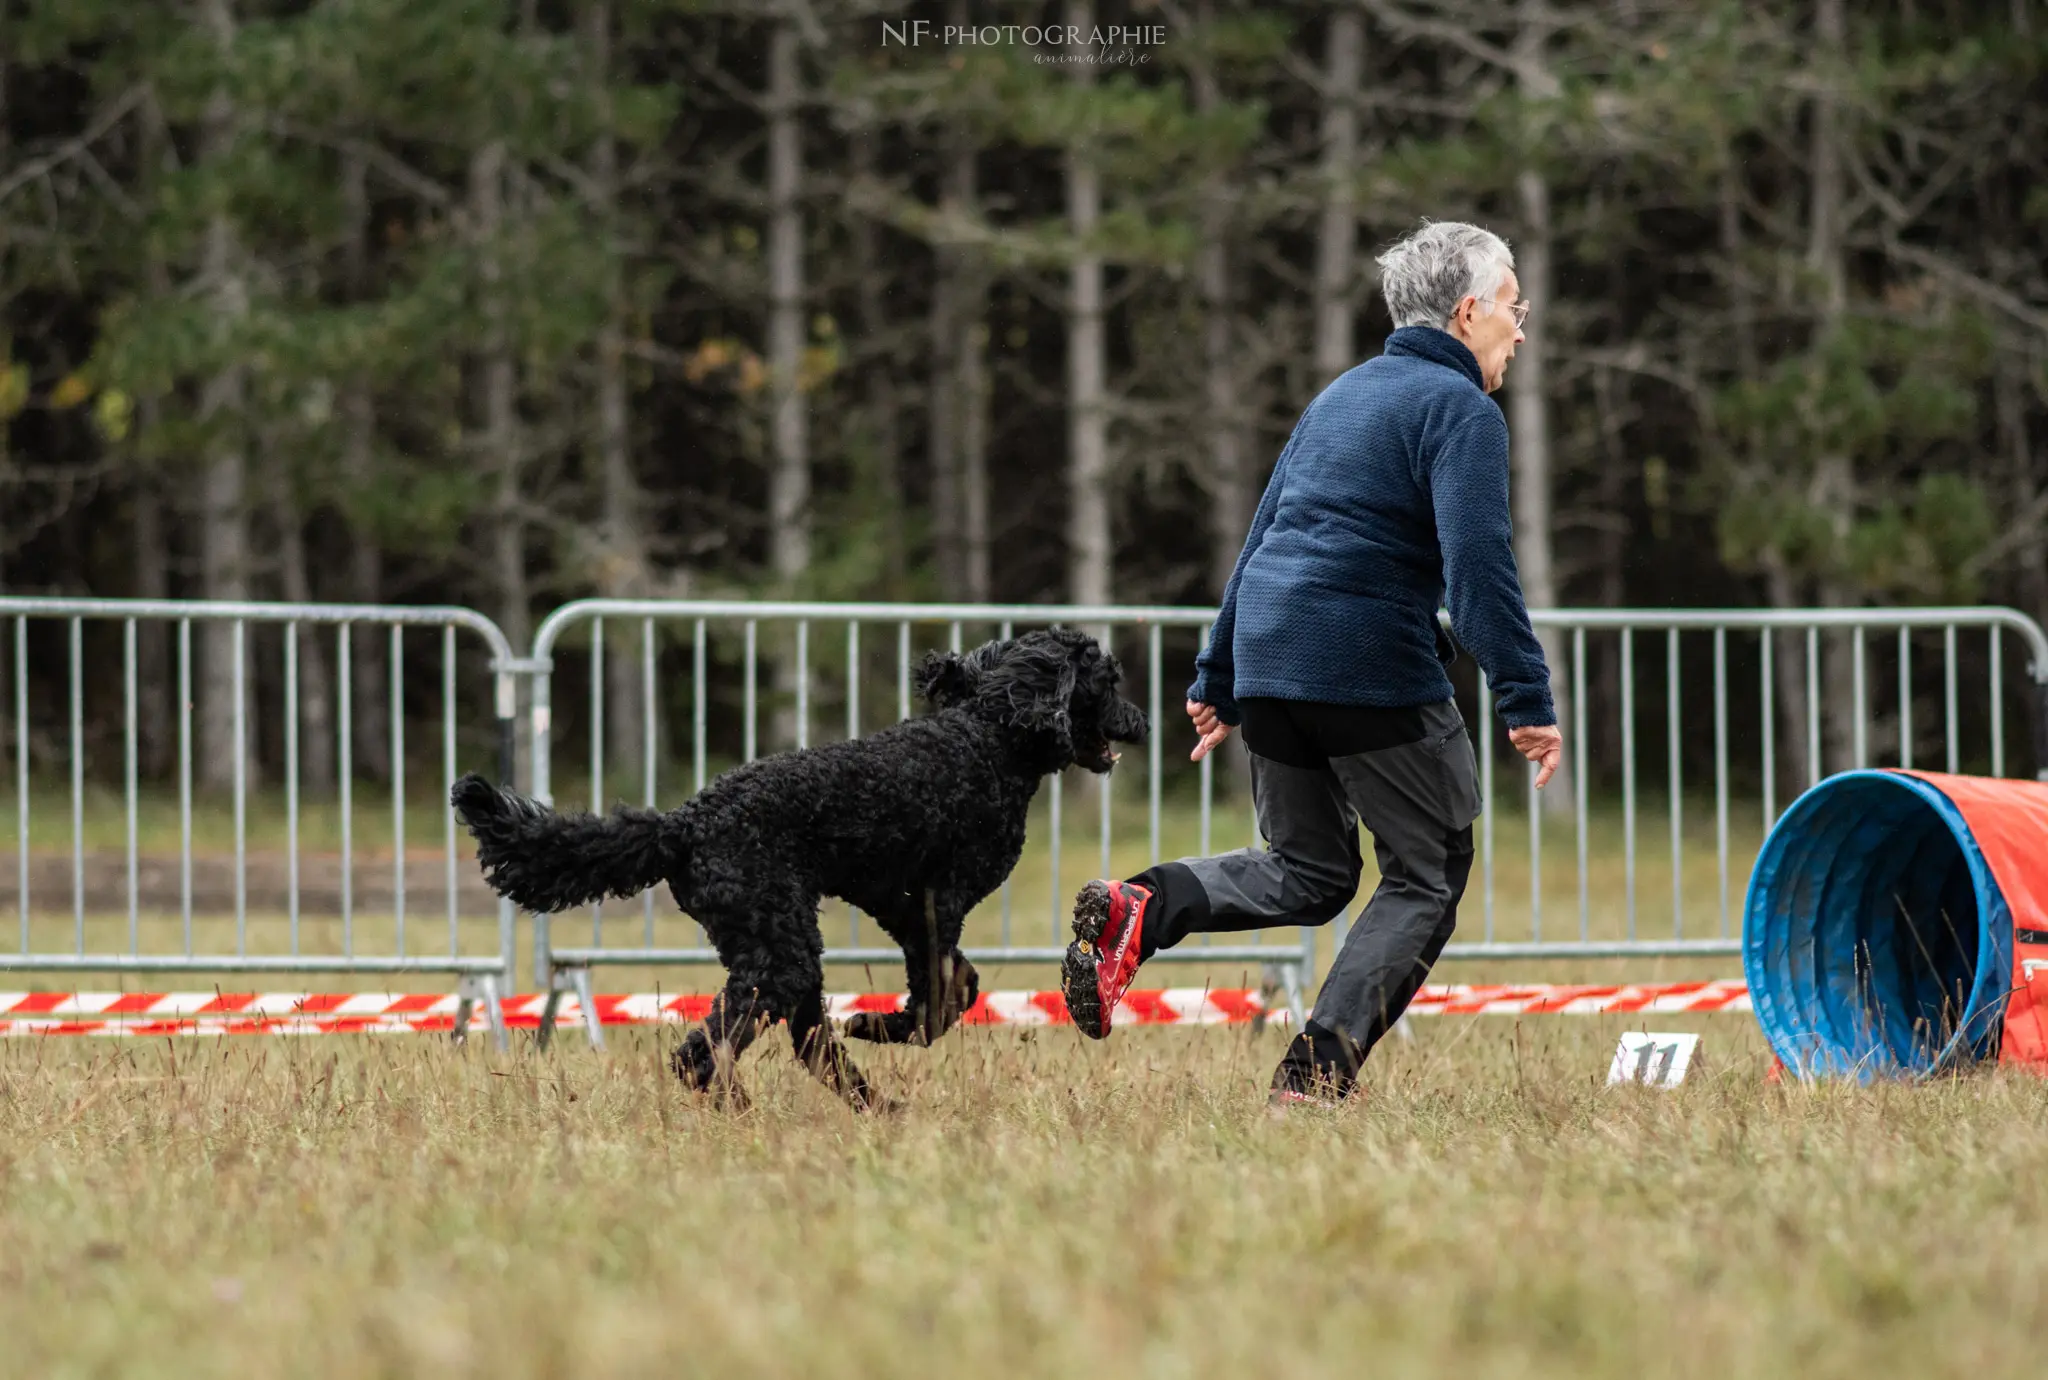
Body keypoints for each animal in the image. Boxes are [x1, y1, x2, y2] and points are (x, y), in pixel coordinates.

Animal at [450, 630, 1146, 1113]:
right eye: (1108, 679)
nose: (1140, 720)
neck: (987, 740)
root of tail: (682, 825)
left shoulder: (900, 905)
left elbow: (960, 985)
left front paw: (878, 1023)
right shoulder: (934, 904)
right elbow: (941, 996)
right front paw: (887, 1024)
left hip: (781, 942)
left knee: (804, 1036)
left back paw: (874, 1106)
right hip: (777, 945)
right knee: (711, 1049)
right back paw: (744, 1105)